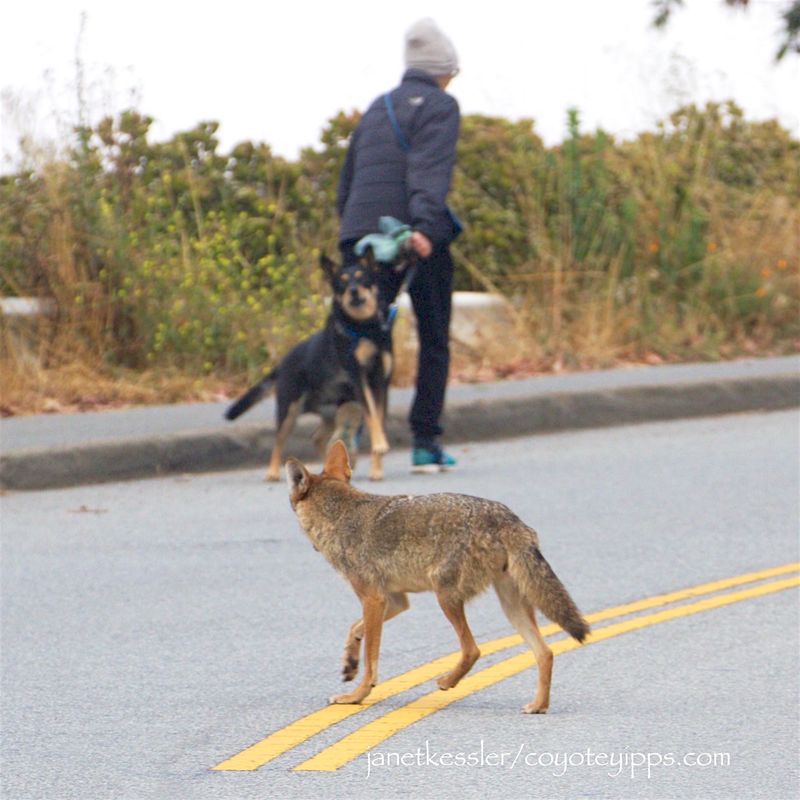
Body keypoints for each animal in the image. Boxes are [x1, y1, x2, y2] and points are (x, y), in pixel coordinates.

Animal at [225, 253, 394, 482]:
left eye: (362, 278)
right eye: (342, 282)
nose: (353, 291)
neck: (365, 329)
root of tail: (283, 362)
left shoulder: (381, 383)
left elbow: (379, 419)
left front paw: (377, 467)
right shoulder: (359, 379)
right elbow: (371, 417)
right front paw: (379, 444)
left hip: (330, 412)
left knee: (319, 438)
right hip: (289, 409)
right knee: (279, 440)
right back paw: (272, 472)